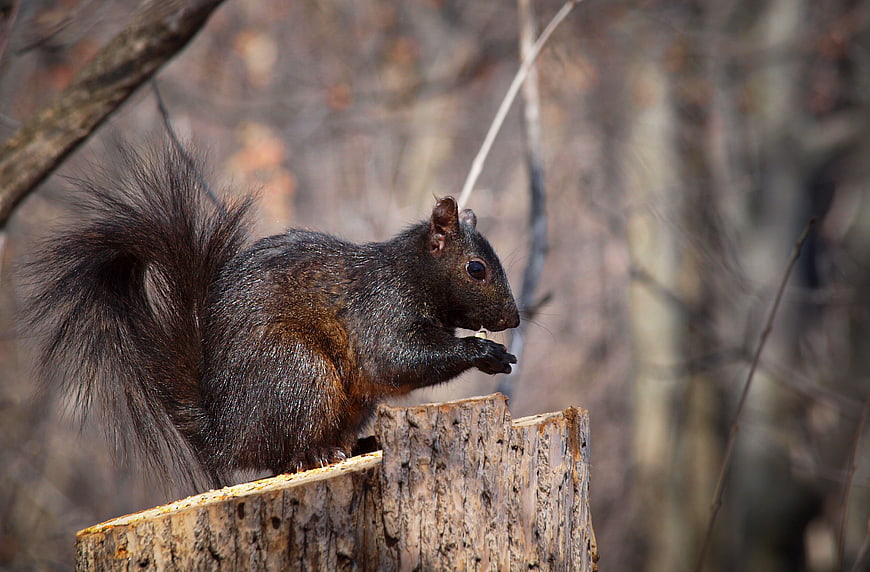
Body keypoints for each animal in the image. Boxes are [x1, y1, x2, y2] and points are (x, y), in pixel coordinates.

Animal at [23, 142, 519, 490]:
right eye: (475, 268)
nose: (513, 320)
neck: (412, 271)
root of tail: (225, 431)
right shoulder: (381, 309)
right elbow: (393, 360)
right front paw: (483, 351)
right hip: (297, 372)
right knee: (281, 453)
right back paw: (314, 456)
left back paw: (356, 445)